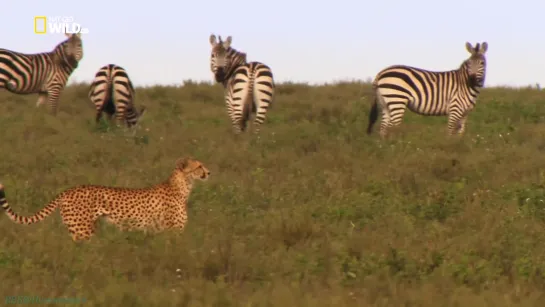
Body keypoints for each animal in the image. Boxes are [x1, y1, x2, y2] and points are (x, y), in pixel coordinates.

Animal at [0, 158, 210, 242]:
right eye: (199, 166)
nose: (209, 172)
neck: (183, 185)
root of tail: (68, 190)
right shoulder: (173, 232)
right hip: (84, 231)